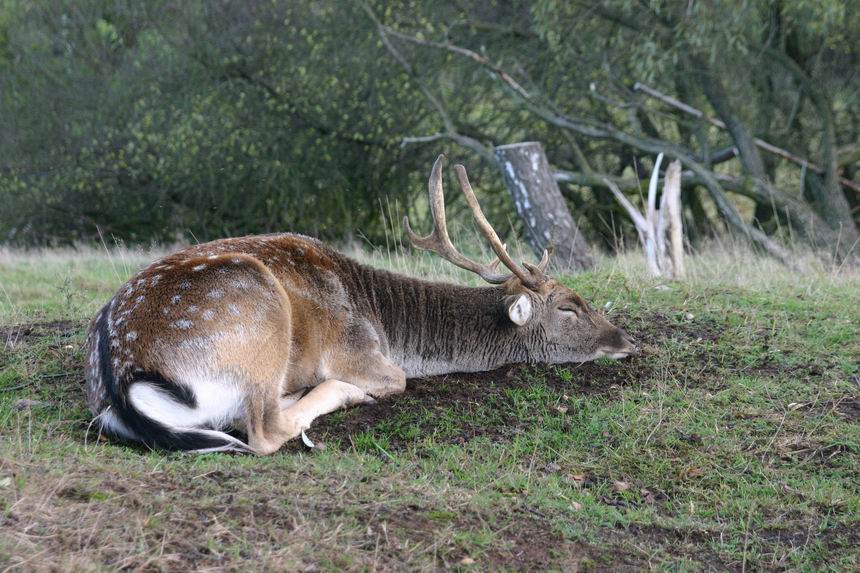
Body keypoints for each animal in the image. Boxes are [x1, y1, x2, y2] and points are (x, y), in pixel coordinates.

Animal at [84, 154, 636, 454]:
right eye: (569, 307)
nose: (626, 339)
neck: (390, 327)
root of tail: (119, 375)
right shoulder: (363, 353)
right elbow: (395, 379)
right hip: (258, 314)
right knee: (261, 428)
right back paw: (334, 395)